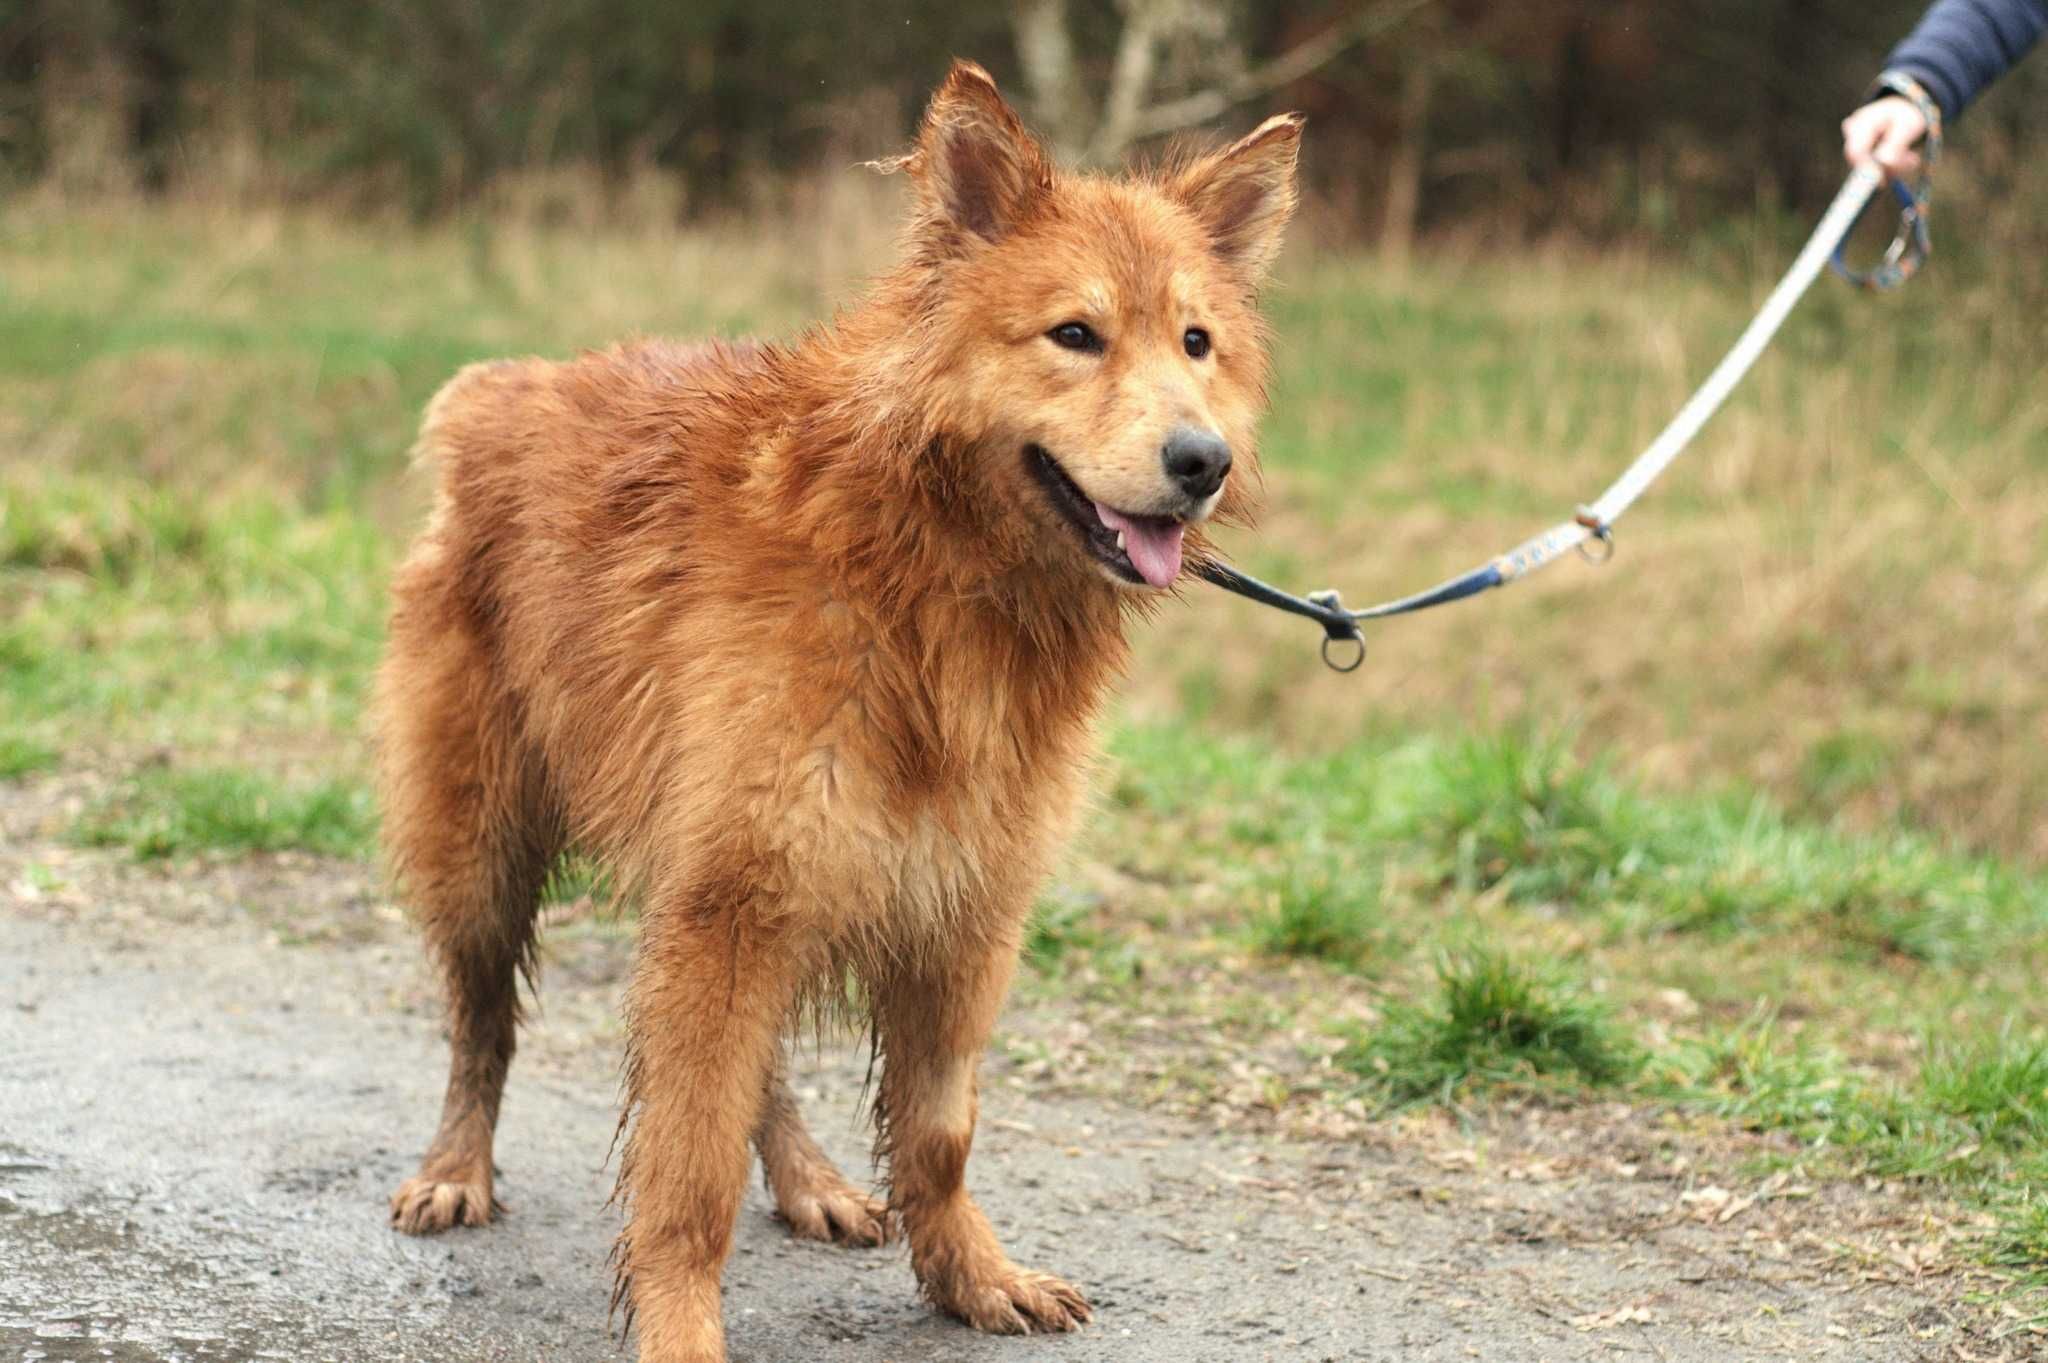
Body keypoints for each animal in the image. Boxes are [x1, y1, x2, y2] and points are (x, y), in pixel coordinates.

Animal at [372, 58, 1294, 1350]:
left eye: (1196, 343)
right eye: (1075, 335)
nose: (1200, 461)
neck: (926, 575)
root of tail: (507, 389)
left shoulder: (957, 907)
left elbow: (937, 1134)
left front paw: (968, 1275)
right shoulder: (732, 898)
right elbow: (688, 1160)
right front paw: (679, 1326)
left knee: (750, 1068)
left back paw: (807, 1179)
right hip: (487, 849)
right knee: (482, 1026)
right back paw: (457, 1167)